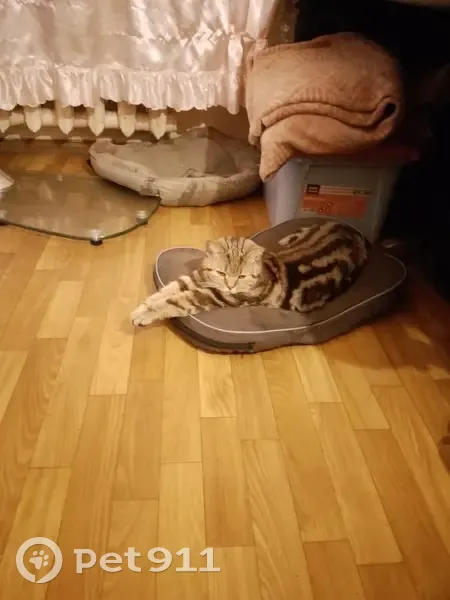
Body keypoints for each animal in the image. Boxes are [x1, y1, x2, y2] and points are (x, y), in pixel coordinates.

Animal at [130, 220, 371, 327]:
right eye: (221, 272)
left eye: (242, 277)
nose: (230, 285)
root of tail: (354, 231)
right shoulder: (200, 278)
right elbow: (168, 289)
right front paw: (144, 305)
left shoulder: (213, 296)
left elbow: (175, 301)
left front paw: (145, 314)